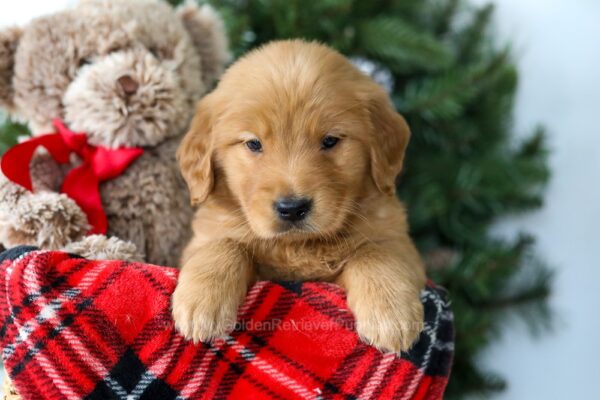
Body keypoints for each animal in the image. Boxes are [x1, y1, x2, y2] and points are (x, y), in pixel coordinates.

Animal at [173, 39, 426, 354]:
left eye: (330, 141)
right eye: (253, 144)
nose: (292, 208)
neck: (297, 246)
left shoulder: (400, 242)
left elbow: (375, 251)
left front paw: (390, 312)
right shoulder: (204, 237)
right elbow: (225, 244)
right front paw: (201, 303)